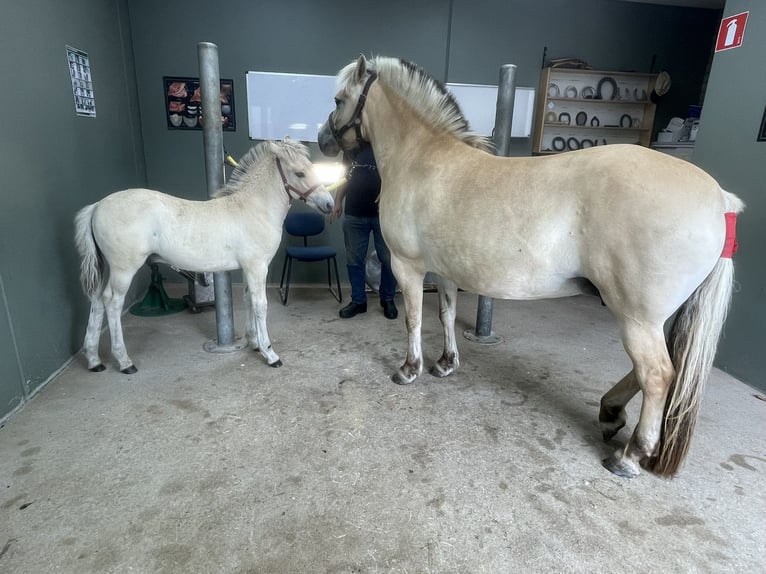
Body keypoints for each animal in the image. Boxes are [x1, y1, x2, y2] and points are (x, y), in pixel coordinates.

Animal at [74, 138, 332, 374]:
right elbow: (260, 305)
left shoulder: (249, 268)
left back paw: (94, 361)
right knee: (112, 303)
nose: (328, 204)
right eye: (299, 173)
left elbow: (248, 300)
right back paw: (124, 361)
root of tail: (97, 206)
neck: (252, 208)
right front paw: (269, 353)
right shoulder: (257, 267)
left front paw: (254, 343)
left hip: (107, 268)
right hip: (123, 270)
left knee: (97, 301)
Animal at [320, 56, 744, 480]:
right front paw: (446, 364)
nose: (324, 139)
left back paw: (629, 456)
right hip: (652, 318)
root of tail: (720, 197)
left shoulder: (407, 265)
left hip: (637, 317)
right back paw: (610, 413)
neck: (423, 160)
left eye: (339, 99)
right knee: (658, 372)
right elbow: (446, 314)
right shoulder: (445, 271)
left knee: (657, 375)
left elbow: (413, 319)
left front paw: (409, 369)